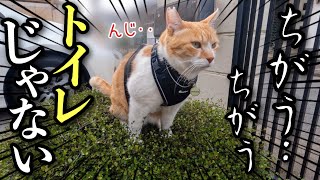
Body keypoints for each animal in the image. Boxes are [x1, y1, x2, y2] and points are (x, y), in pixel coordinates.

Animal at [91, 7, 219, 136]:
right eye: (196, 44)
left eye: (214, 45)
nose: (211, 58)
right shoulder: (138, 106)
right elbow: (135, 127)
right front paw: (134, 140)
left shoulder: (172, 108)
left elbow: (167, 123)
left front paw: (167, 135)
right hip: (119, 106)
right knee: (122, 116)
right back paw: (125, 126)